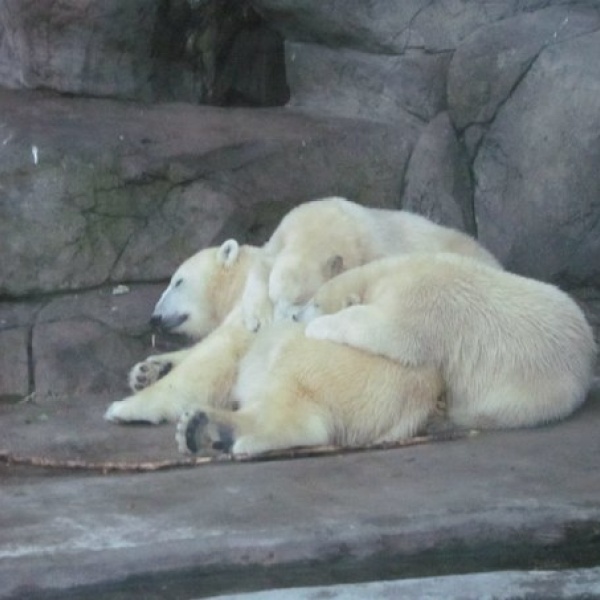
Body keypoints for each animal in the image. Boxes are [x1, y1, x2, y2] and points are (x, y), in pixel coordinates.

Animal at [241, 197, 500, 330]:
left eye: (299, 300)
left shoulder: (373, 246)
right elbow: (262, 262)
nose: (280, 325)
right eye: (274, 299)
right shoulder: (285, 230)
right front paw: (255, 318)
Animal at [302, 253, 596, 432]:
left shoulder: (419, 303)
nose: (296, 315)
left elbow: (388, 331)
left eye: (315, 303)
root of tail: (588, 352)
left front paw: (315, 327)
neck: (388, 274)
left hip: (535, 384)